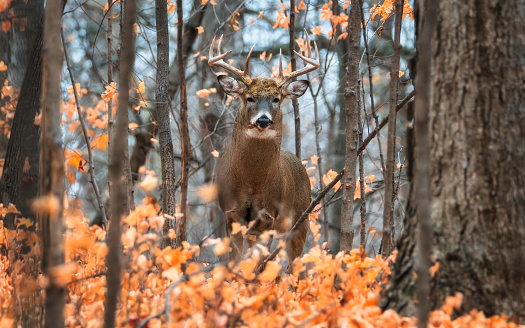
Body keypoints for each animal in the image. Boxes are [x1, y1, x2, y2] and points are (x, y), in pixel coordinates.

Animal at [209, 34, 320, 272]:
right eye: (249, 97)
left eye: (276, 99)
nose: (263, 120)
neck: (252, 183)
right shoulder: (230, 214)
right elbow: (236, 261)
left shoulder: (268, 217)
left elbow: (258, 263)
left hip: (301, 219)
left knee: (295, 265)